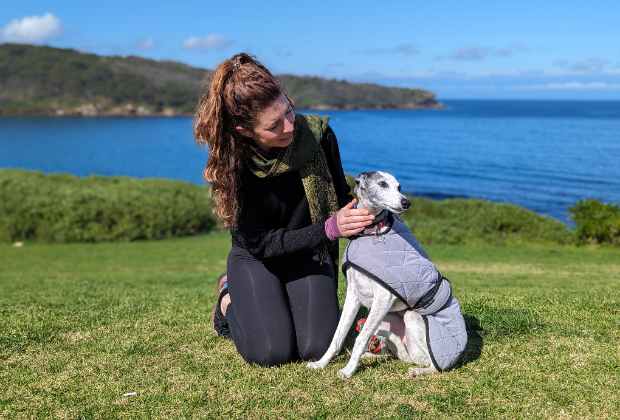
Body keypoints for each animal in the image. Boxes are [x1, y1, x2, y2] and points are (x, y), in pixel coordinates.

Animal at [308, 169, 468, 378]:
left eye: (399, 187)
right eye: (383, 184)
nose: (406, 202)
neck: (370, 231)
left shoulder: (384, 297)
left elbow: (360, 338)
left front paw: (349, 370)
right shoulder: (353, 295)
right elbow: (338, 335)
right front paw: (321, 363)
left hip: (411, 318)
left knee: (429, 363)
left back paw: (417, 370)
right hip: (385, 320)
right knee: (397, 352)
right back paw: (372, 354)